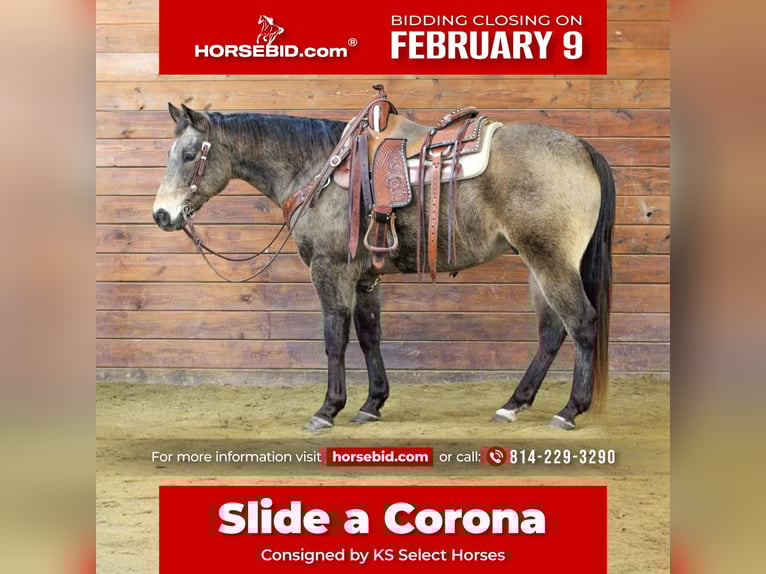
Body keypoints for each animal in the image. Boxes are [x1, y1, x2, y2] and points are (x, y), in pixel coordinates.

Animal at [152, 92, 615, 432]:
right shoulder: (365, 278)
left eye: (190, 154)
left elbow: (334, 338)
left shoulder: (330, 269)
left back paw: (569, 410)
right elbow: (369, 335)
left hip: (549, 261)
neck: (318, 168)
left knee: (582, 323)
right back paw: (513, 404)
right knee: (551, 332)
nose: (162, 215)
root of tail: (581, 148)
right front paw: (372, 403)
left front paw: (328, 409)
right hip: (537, 263)